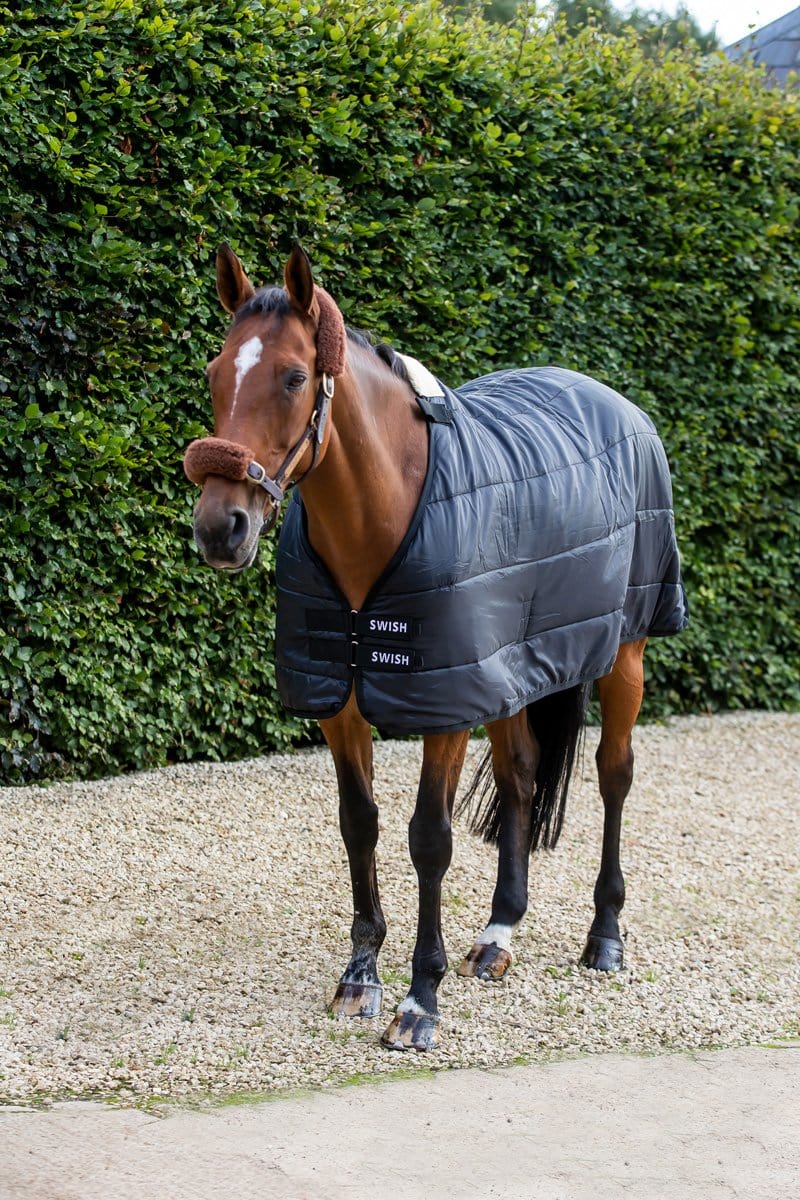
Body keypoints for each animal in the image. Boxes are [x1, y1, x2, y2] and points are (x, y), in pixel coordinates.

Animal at [184, 244, 688, 1051]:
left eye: (292, 377)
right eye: (214, 373)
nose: (219, 527)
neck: (384, 517)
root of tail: (615, 401)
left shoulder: (444, 706)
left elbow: (430, 839)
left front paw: (420, 999)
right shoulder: (346, 701)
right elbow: (359, 823)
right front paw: (360, 975)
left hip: (626, 653)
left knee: (614, 775)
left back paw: (605, 935)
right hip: (512, 672)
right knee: (521, 777)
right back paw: (498, 934)